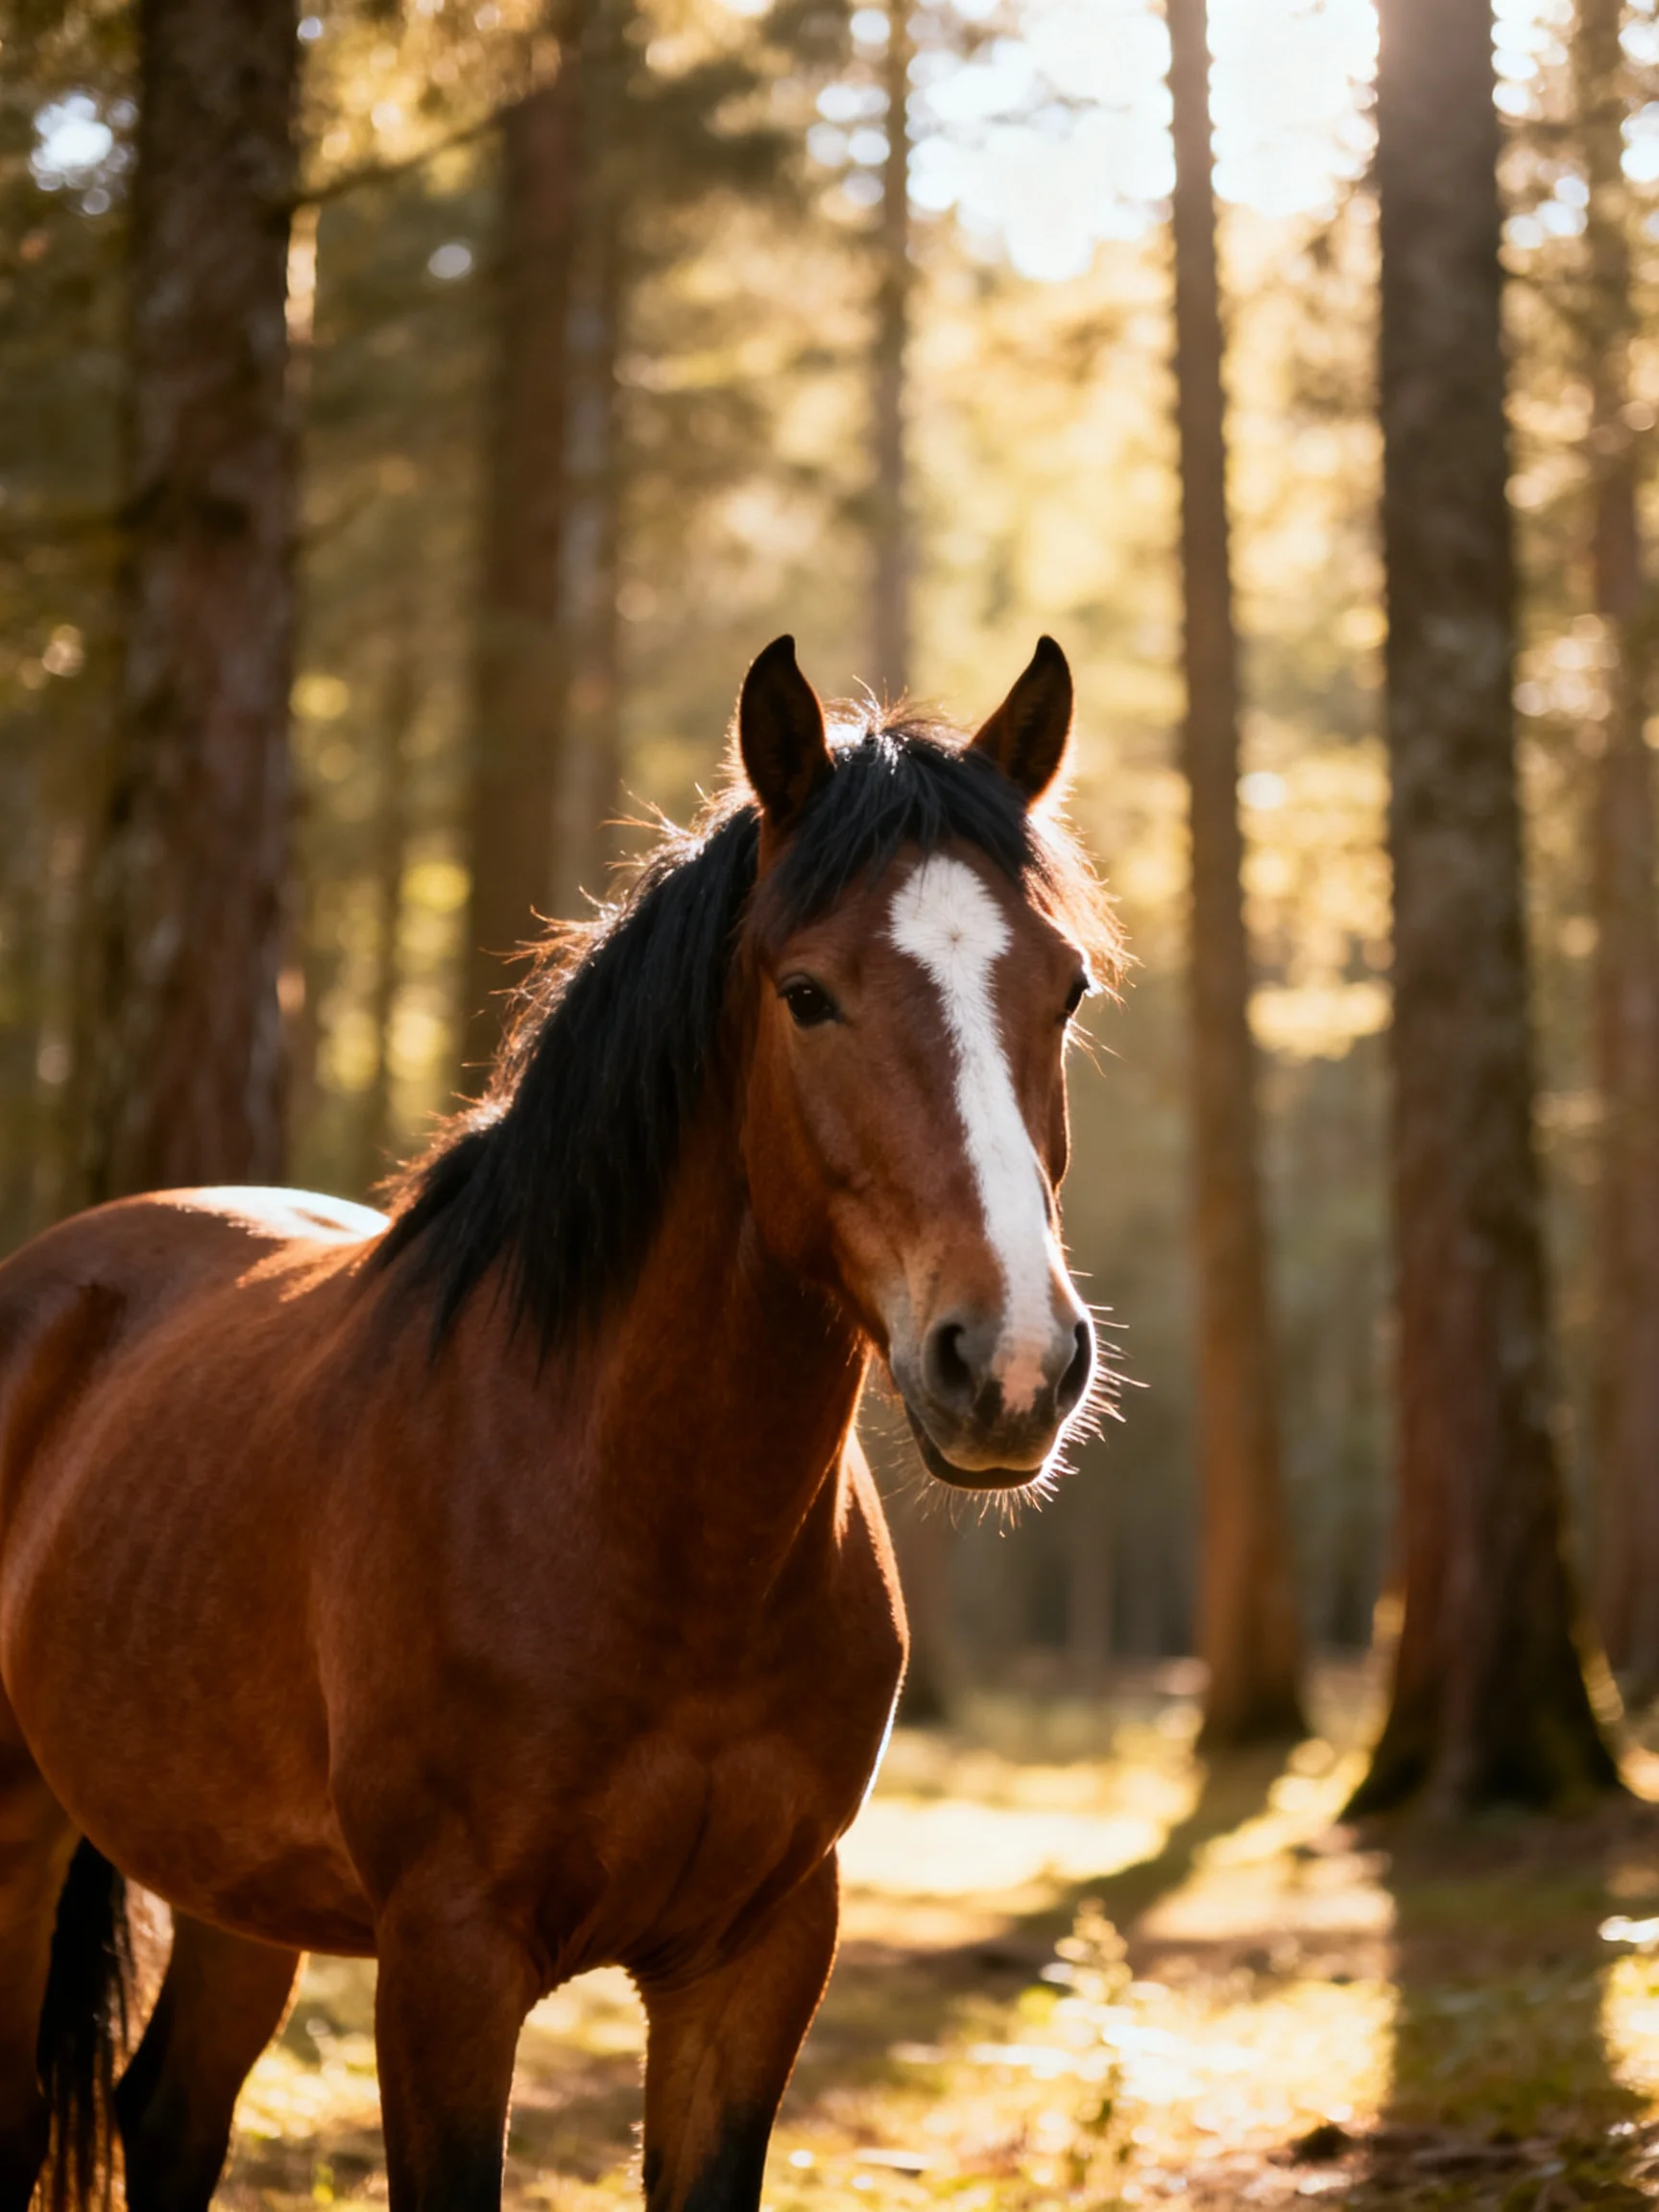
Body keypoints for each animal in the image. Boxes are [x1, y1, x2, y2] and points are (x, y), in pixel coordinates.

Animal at [0, 634, 1118, 2212]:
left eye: (1065, 989)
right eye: (807, 994)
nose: (1010, 1362)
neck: (641, 1525)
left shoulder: (756, 1960)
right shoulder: (448, 1966)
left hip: (239, 1886)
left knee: (168, 2115)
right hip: (16, 1838)